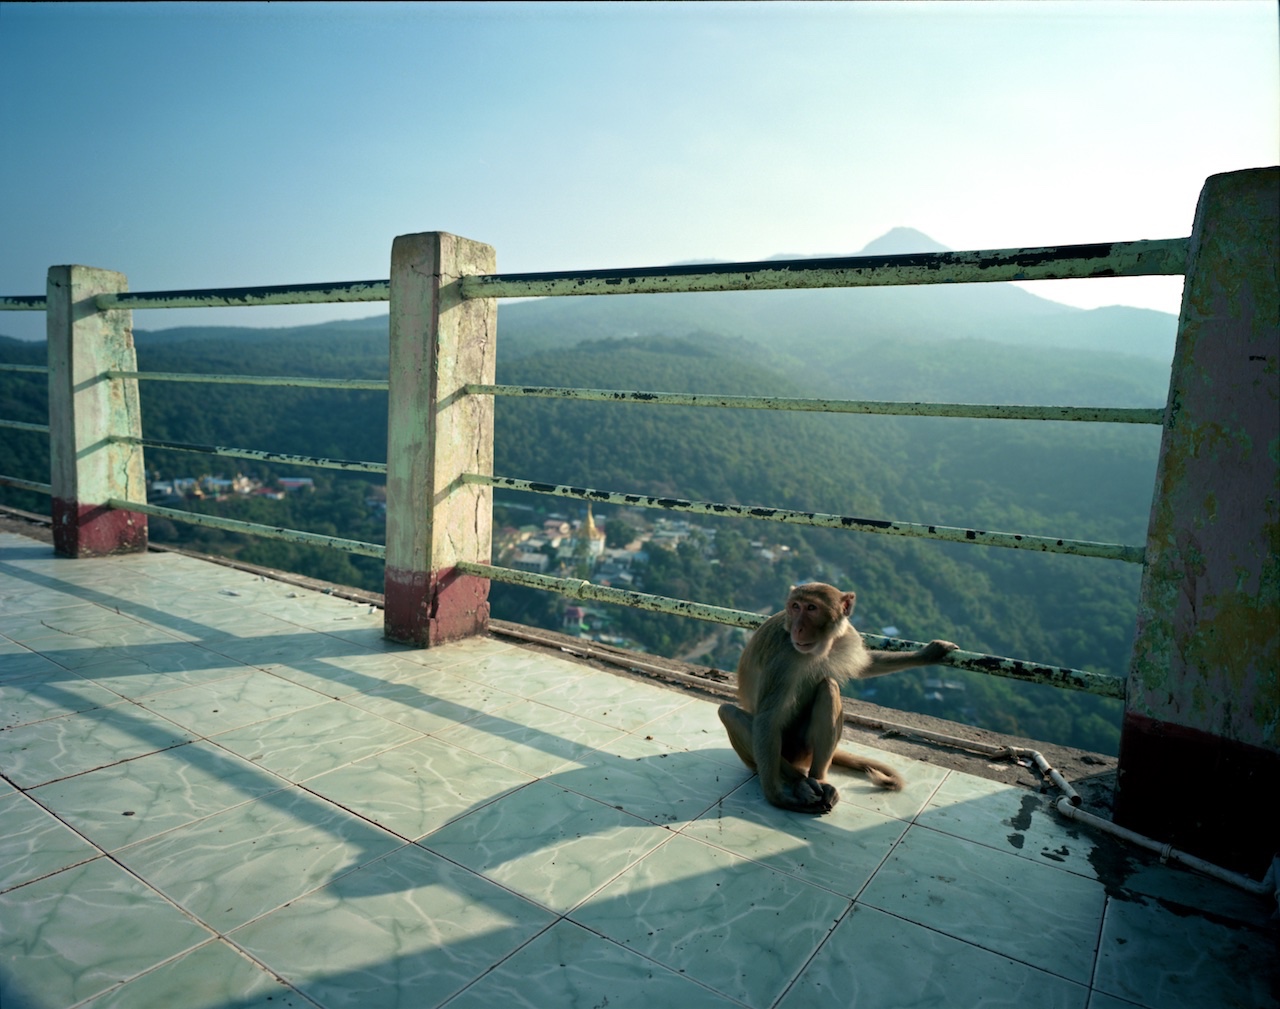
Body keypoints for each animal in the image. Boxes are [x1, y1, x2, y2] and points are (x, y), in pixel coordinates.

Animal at [716, 583, 957, 814]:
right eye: (795, 606)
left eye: (811, 608)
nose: (797, 628)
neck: (820, 648)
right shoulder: (783, 657)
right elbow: (767, 719)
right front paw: (776, 796)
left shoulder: (848, 635)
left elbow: (867, 665)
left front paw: (928, 654)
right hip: (780, 753)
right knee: (729, 713)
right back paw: (799, 782)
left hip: (805, 751)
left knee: (828, 687)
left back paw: (819, 780)